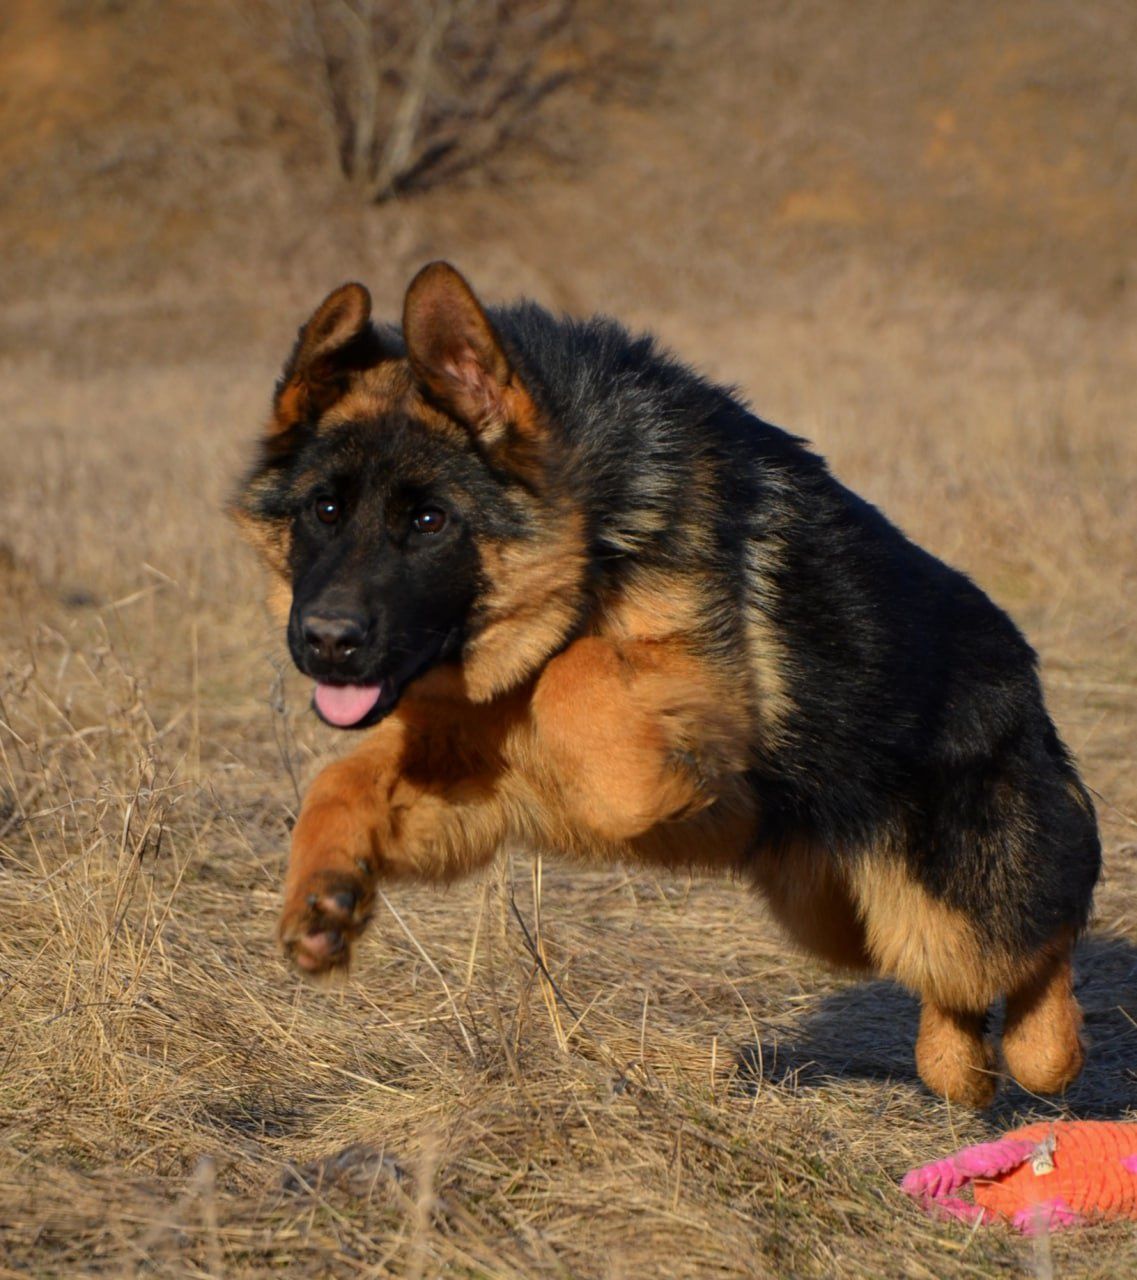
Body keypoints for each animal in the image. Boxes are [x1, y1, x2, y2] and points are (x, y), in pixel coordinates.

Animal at [233, 259, 1101, 1100]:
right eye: (323, 510)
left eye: (428, 521)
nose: (327, 643)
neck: (590, 526)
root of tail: (1025, 677)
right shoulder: (466, 757)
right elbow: (347, 776)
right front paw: (324, 891)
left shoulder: (685, 683)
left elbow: (572, 679)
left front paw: (630, 784)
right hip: (839, 919)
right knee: (955, 1000)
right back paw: (960, 1067)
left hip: (952, 908)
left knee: (1039, 939)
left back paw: (1043, 1048)